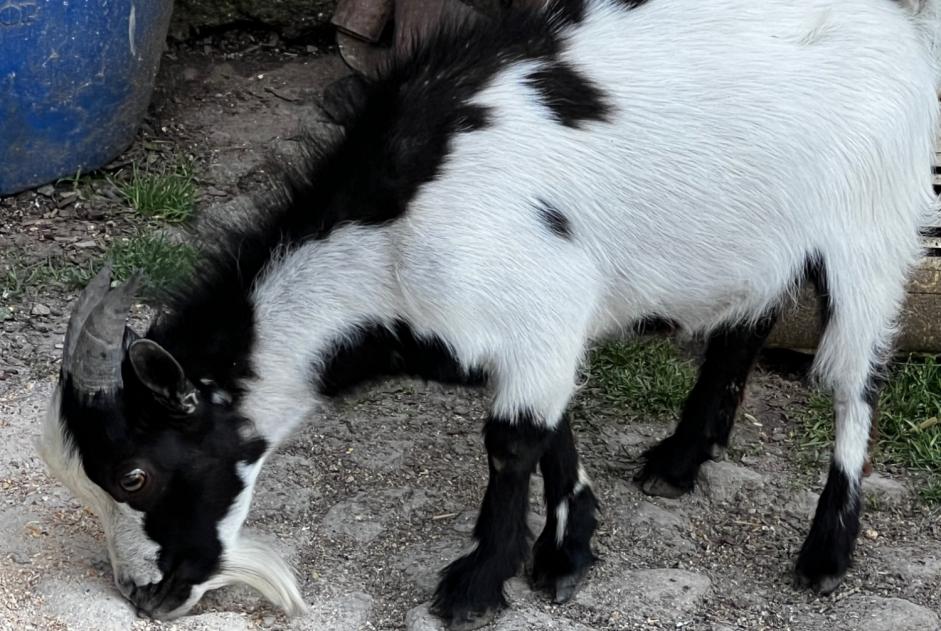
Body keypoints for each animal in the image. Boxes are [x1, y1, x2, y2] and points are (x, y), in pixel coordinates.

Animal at [39, 0, 940, 628]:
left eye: (134, 472)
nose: (145, 596)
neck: (391, 235)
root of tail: (894, 25)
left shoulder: (536, 305)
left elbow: (510, 442)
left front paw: (476, 583)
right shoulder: (532, 329)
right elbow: (550, 428)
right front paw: (566, 549)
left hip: (869, 225)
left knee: (856, 376)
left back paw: (826, 549)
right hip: (763, 235)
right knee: (748, 318)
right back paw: (681, 457)